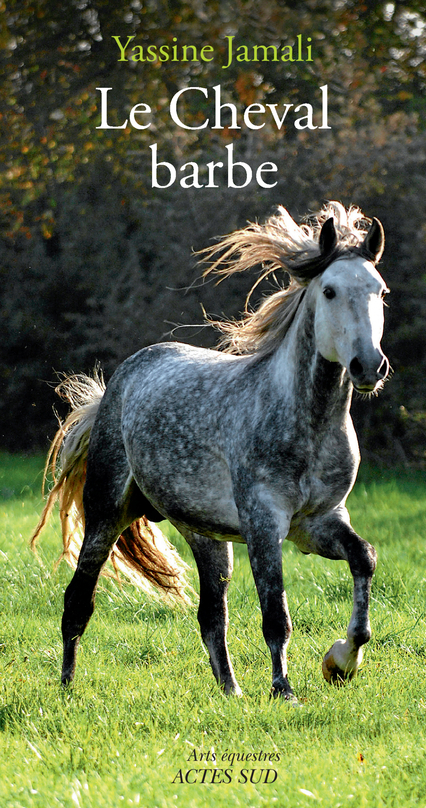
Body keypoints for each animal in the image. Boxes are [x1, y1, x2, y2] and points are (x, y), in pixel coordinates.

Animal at [32, 201, 390, 701]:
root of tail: (117, 385)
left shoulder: (318, 523)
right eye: (331, 290)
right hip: (106, 515)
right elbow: (276, 615)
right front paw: (285, 691)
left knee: (211, 617)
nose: (369, 366)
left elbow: (365, 559)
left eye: (380, 291)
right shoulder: (264, 524)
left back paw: (231, 692)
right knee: (77, 602)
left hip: (208, 538)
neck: (305, 424)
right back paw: (67, 688)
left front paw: (341, 661)